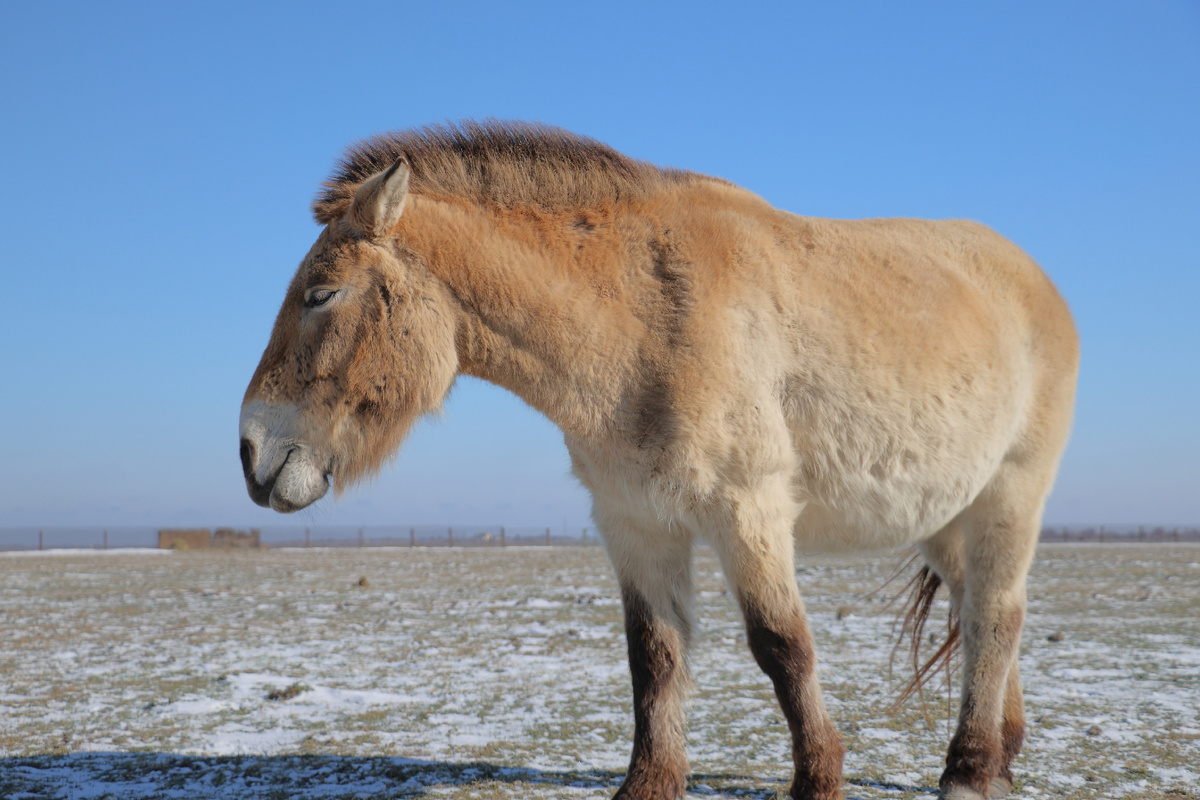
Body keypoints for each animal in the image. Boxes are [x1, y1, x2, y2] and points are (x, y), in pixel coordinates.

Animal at [239, 121, 1078, 800]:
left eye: (321, 294)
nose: (250, 453)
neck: (645, 320)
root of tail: (1037, 282)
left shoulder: (748, 511)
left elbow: (783, 647)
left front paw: (817, 779)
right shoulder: (635, 523)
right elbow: (655, 658)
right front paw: (651, 782)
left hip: (1011, 496)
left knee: (996, 614)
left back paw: (969, 770)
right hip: (945, 516)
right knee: (979, 613)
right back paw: (999, 756)